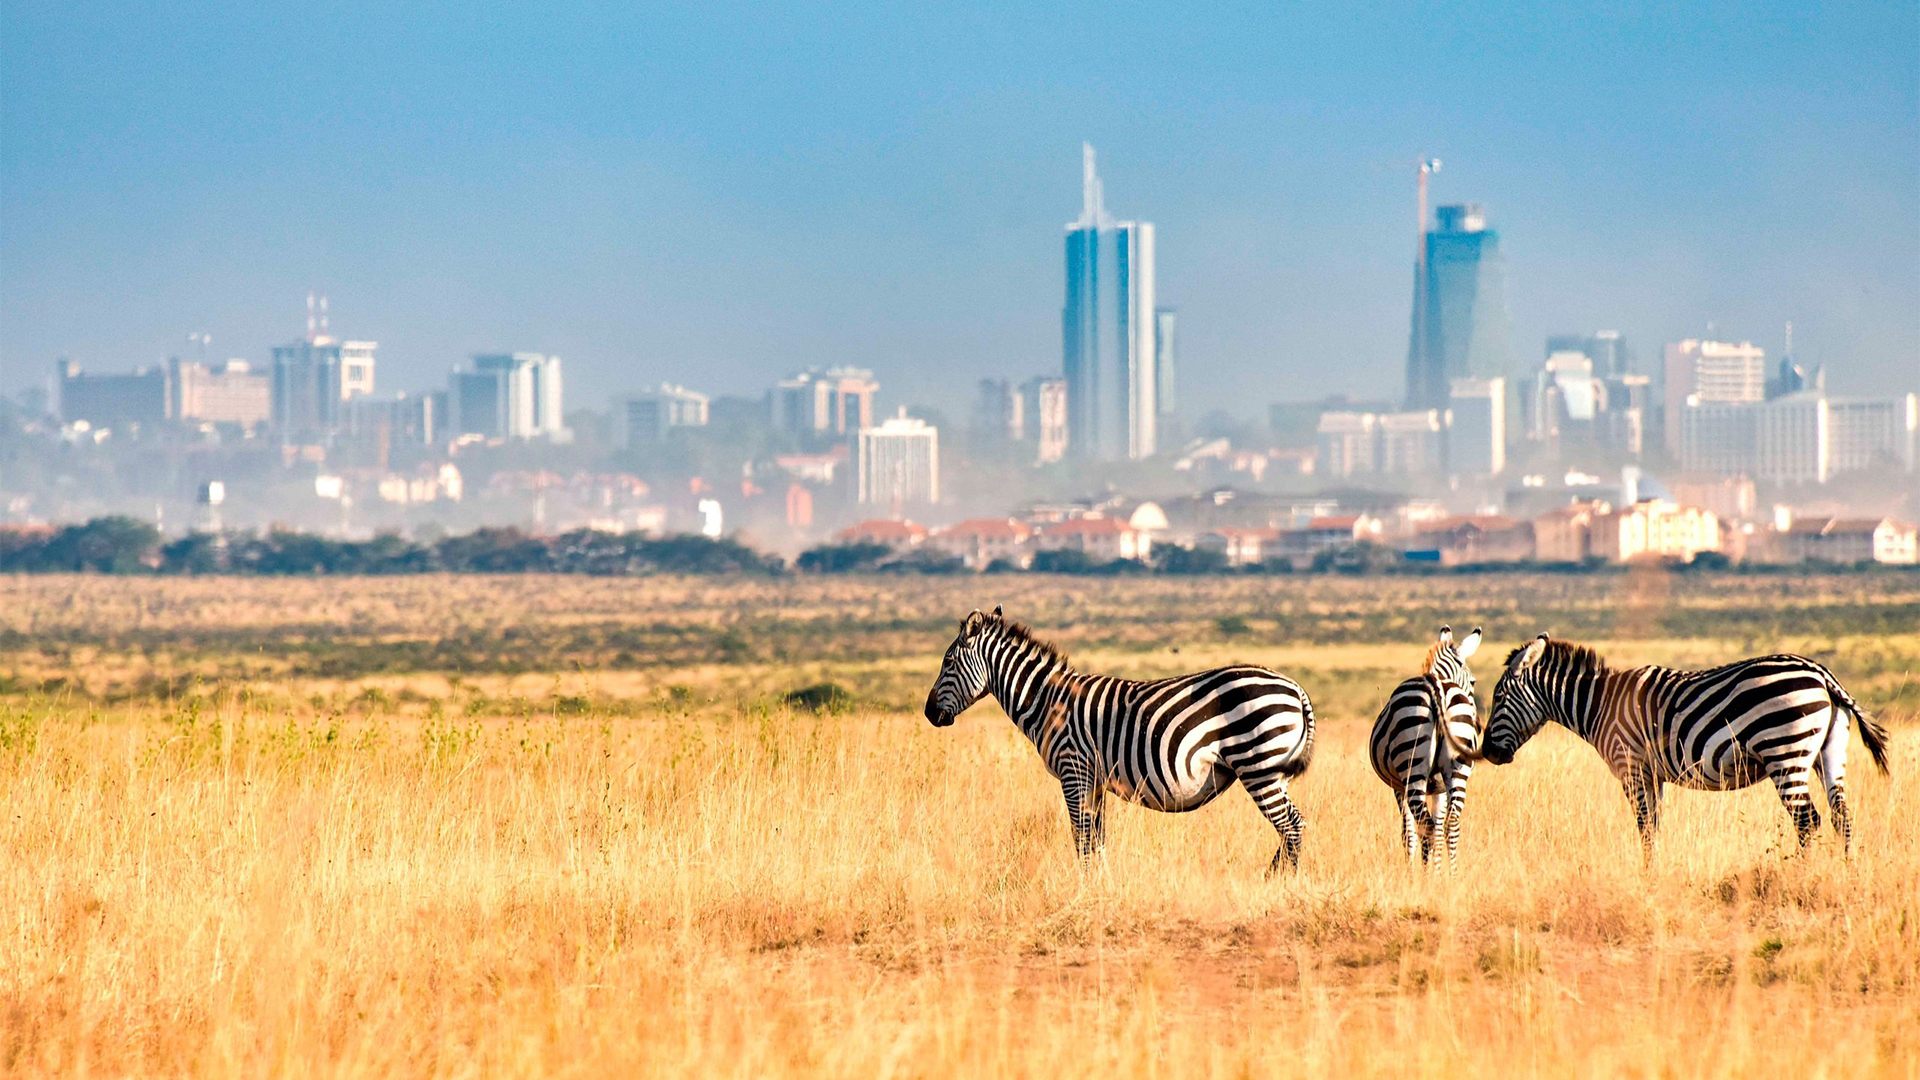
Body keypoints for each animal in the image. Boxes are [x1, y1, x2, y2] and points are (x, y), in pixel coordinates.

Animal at [925, 599, 1320, 868]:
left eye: (947, 661)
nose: (929, 714)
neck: (1046, 700)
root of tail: (1295, 687)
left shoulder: (1074, 770)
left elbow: (1081, 838)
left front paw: (1087, 888)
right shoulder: (1094, 780)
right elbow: (1097, 840)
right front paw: (1103, 883)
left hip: (1258, 766)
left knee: (1291, 826)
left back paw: (1274, 883)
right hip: (1272, 770)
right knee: (1294, 825)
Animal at [1367, 622, 1482, 864]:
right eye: (1473, 681)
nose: (1478, 726)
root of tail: (1436, 686)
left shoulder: (1399, 787)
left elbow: (1409, 833)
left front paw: (1412, 870)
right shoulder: (1439, 787)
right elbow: (1437, 829)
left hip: (1412, 769)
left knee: (1425, 826)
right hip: (1457, 771)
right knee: (1450, 825)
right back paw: (1451, 872)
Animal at [1451, 634, 1889, 853]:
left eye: (1499, 698)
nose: (1488, 753)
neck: (1599, 704)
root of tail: (1822, 675)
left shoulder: (1630, 766)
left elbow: (1644, 827)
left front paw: (1646, 878)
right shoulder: (1652, 774)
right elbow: (1655, 826)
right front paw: (1655, 873)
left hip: (1784, 751)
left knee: (1807, 821)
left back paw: (1800, 877)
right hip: (1828, 753)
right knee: (1841, 817)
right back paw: (1845, 875)